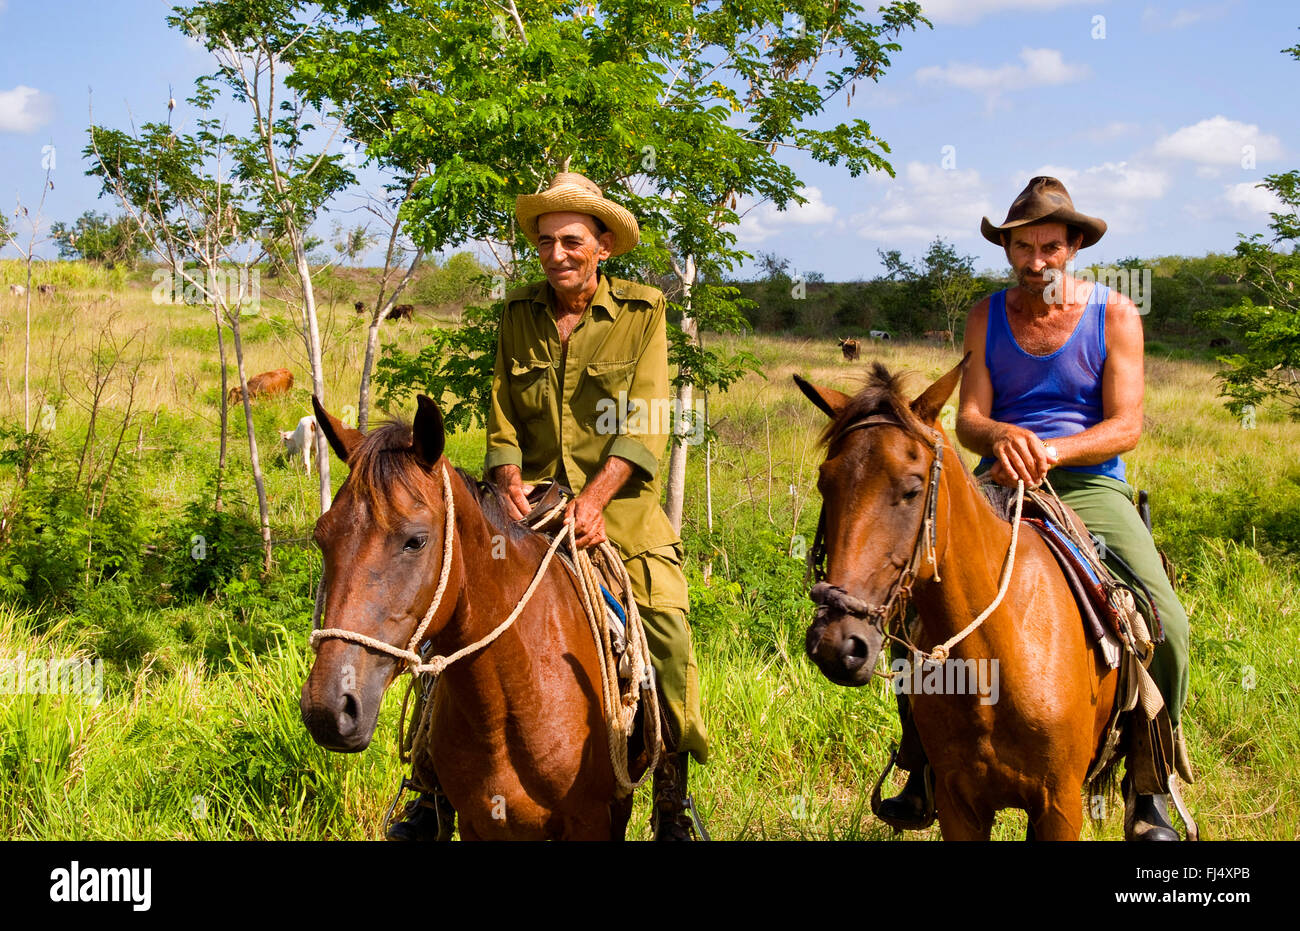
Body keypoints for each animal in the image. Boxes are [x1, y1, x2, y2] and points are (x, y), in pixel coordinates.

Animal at [794, 357, 1118, 840]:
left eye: (912, 489)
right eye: (824, 483)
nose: (837, 644)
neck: (995, 660)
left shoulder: (1060, 806)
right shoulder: (957, 804)